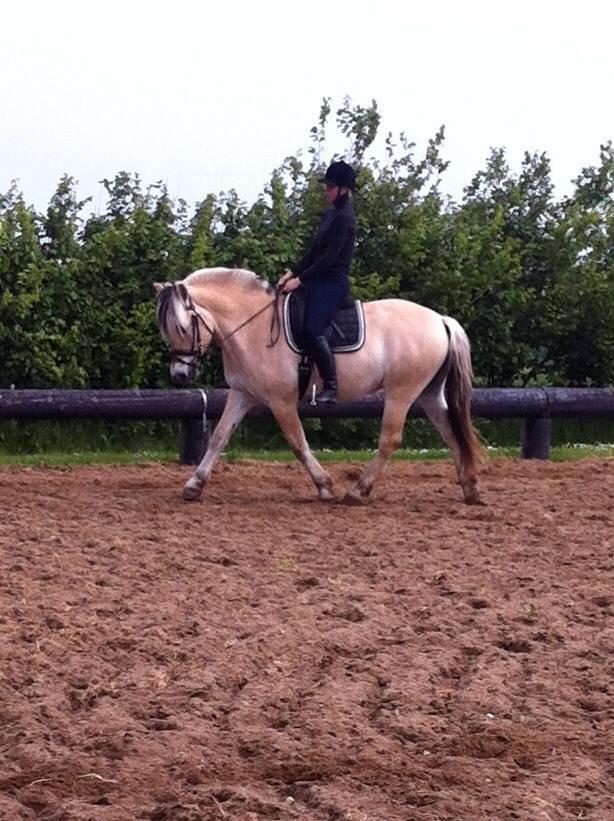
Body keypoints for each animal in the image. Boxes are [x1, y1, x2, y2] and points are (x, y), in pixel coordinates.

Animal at [152, 266, 484, 502]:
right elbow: (219, 437)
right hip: (428, 394)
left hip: (401, 393)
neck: (253, 326)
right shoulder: (242, 394)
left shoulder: (281, 401)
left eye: (182, 327)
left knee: (390, 439)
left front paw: (325, 486)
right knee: (450, 433)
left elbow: (298, 443)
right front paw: (193, 486)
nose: (179, 376)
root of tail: (440, 320)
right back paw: (470, 489)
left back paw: (358, 491)